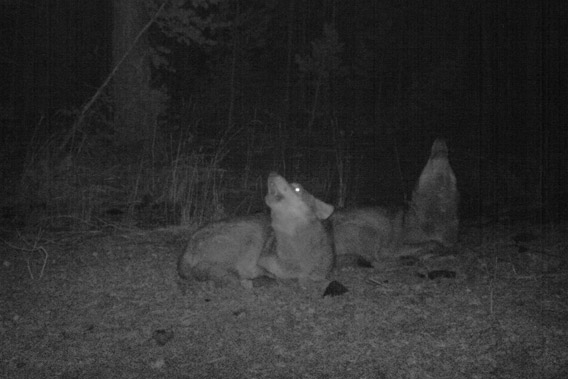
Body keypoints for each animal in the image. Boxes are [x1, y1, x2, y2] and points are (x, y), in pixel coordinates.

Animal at [178, 173, 336, 288]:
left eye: (297, 189)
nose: (273, 173)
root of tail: (188, 248)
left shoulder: (319, 275)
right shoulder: (260, 262)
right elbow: (275, 276)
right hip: (251, 236)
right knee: (203, 270)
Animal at [330, 138, 460, 266]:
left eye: (449, 161)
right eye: (429, 159)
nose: (440, 139)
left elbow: (447, 247)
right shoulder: (400, 245)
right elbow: (434, 244)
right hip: (372, 231)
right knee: (377, 260)